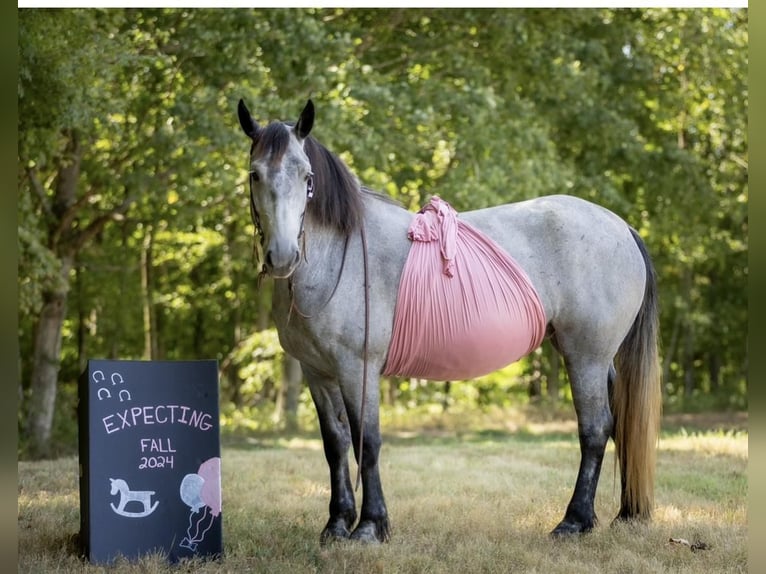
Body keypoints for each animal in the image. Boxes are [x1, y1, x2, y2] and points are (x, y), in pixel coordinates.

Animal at [237, 98, 664, 544]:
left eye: (307, 177)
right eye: (255, 174)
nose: (282, 256)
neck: (341, 254)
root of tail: (622, 226)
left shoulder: (358, 368)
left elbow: (366, 442)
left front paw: (370, 526)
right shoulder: (317, 372)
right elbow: (335, 444)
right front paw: (336, 524)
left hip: (586, 357)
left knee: (595, 429)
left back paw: (574, 521)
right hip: (601, 361)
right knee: (619, 424)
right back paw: (619, 514)